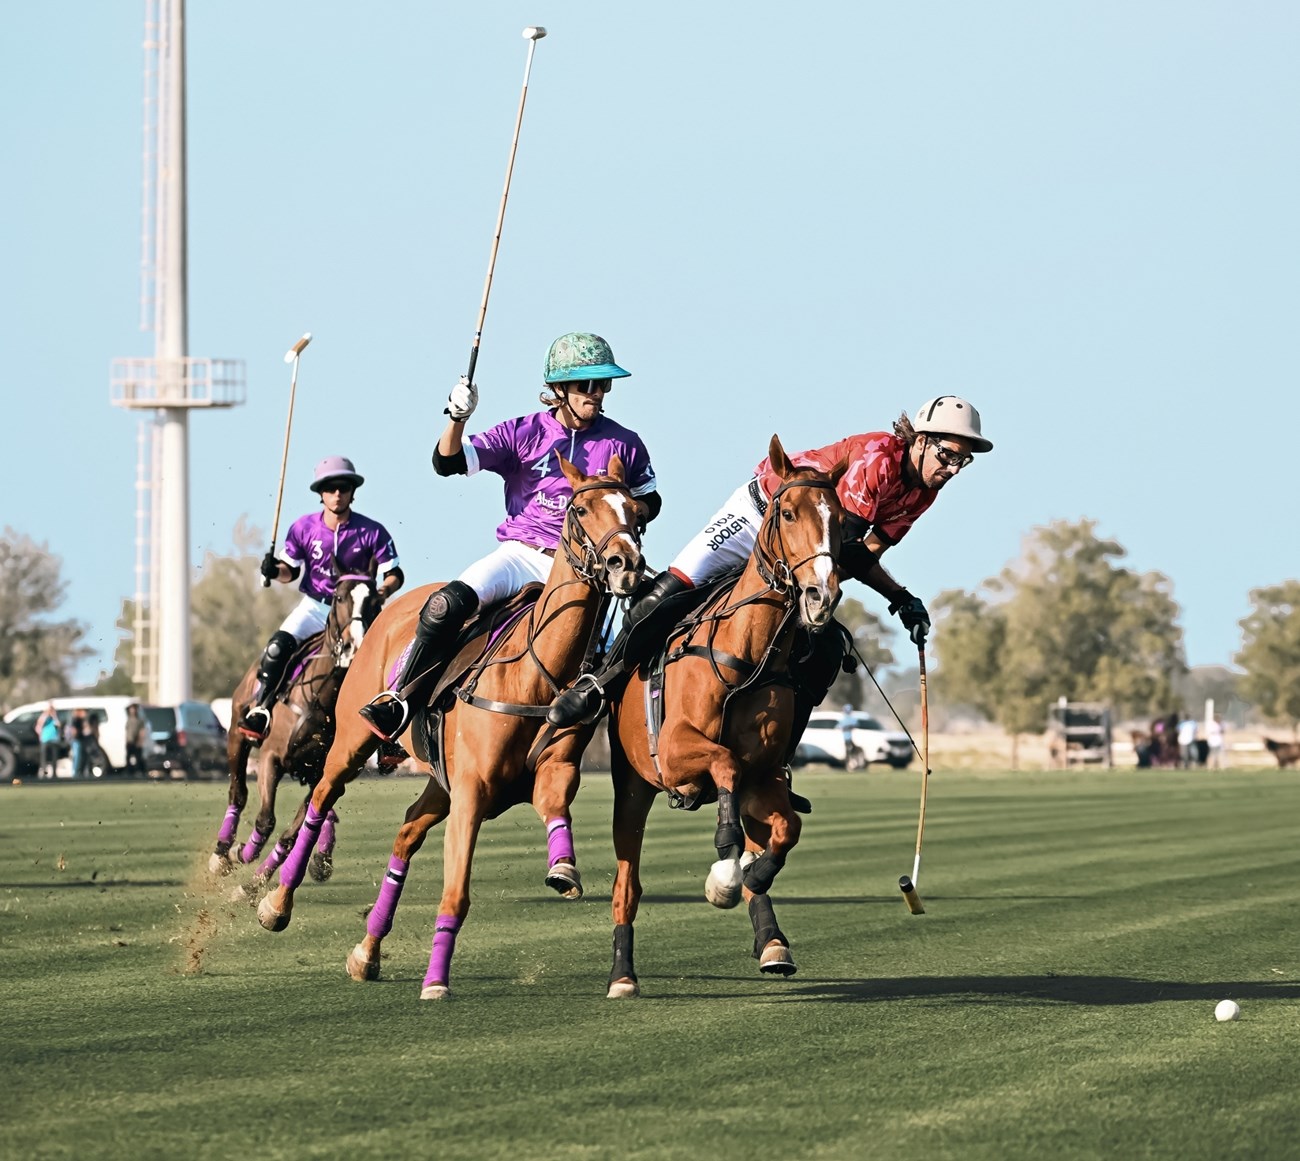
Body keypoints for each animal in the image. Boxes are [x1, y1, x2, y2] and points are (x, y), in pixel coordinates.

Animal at [208, 572, 379, 878]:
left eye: (376, 600)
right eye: (339, 597)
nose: (354, 647)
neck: (323, 700)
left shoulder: (325, 774)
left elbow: (294, 831)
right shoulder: (271, 758)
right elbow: (265, 819)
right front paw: (242, 852)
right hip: (237, 734)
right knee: (237, 792)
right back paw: (222, 851)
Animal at [257, 455, 644, 998]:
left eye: (636, 511)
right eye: (581, 509)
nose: (626, 565)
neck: (535, 676)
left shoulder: (552, 770)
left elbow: (554, 805)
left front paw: (563, 867)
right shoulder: (471, 793)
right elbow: (456, 894)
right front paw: (436, 981)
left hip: (439, 782)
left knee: (404, 834)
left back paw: (366, 952)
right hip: (354, 742)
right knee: (321, 799)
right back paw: (276, 903)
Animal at [598, 434, 842, 998]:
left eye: (840, 519)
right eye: (789, 513)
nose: (821, 596)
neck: (745, 654)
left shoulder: (764, 776)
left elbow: (788, 827)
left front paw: (749, 874)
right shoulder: (676, 754)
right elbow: (723, 762)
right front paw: (724, 876)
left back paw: (772, 942)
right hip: (633, 785)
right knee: (627, 883)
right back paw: (623, 975)